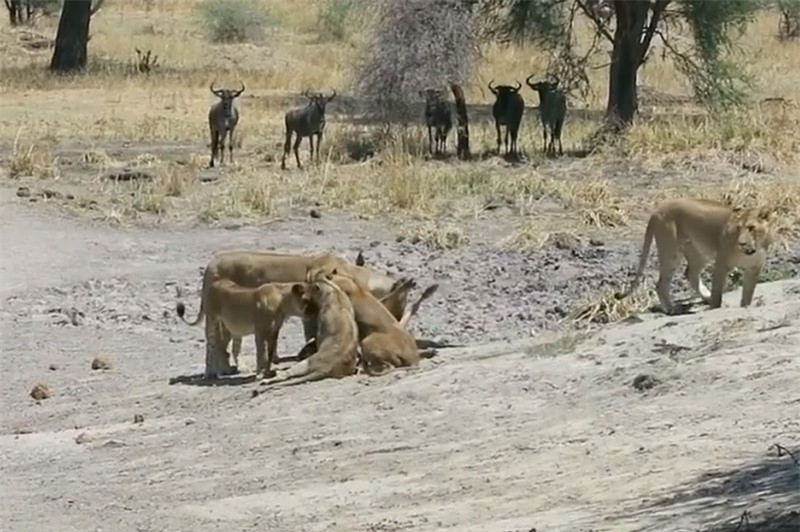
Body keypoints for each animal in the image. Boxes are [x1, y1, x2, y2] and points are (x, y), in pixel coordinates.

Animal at [177, 280, 310, 376]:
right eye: (307, 299)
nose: (313, 312)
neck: (282, 302)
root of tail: (216, 282)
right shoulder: (260, 331)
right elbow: (261, 352)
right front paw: (260, 372)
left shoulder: (274, 331)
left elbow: (270, 352)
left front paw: (268, 371)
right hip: (212, 319)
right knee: (212, 346)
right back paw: (211, 373)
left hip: (231, 328)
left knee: (226, 348)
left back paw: (232, 369)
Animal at [616, 200, 780, 316]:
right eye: (739, 228)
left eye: (751, 228)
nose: (741, 242)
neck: (752, 250)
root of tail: (657, 209)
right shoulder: (721, 264)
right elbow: (717, 294)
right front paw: (715, 307)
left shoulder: (754, 268)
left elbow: (748, 294)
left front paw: (745, 306)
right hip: (671, 251)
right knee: (661, 283)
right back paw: (671, 309)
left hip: (697, 253)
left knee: (691, 274)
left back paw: (705, 296)